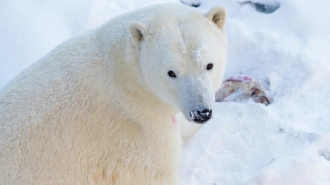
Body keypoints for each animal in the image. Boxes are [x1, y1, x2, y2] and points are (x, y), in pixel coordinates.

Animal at [0, 3, 227, 185]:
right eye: (171, 72)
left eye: (209, 64)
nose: (201, 112)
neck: (125, 76)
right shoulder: (135, 131)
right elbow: (155, 172)